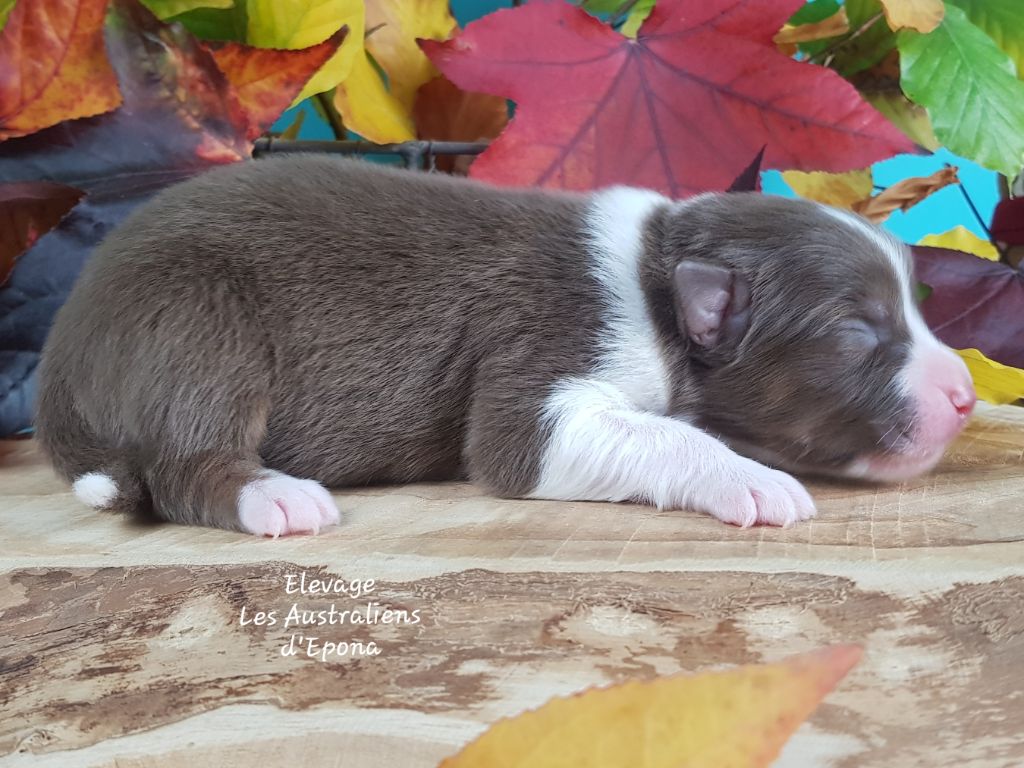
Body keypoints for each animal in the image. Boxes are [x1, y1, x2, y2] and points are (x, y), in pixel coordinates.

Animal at [35, 155, 976, 534]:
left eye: (916, 306)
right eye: (857, 330)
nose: (967, 395)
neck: (653, 278)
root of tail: (61, 351)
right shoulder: (541, 363)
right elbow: (641, 433)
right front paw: (751, 478)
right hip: (197, 316)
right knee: (182, 458)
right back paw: (272, 497)